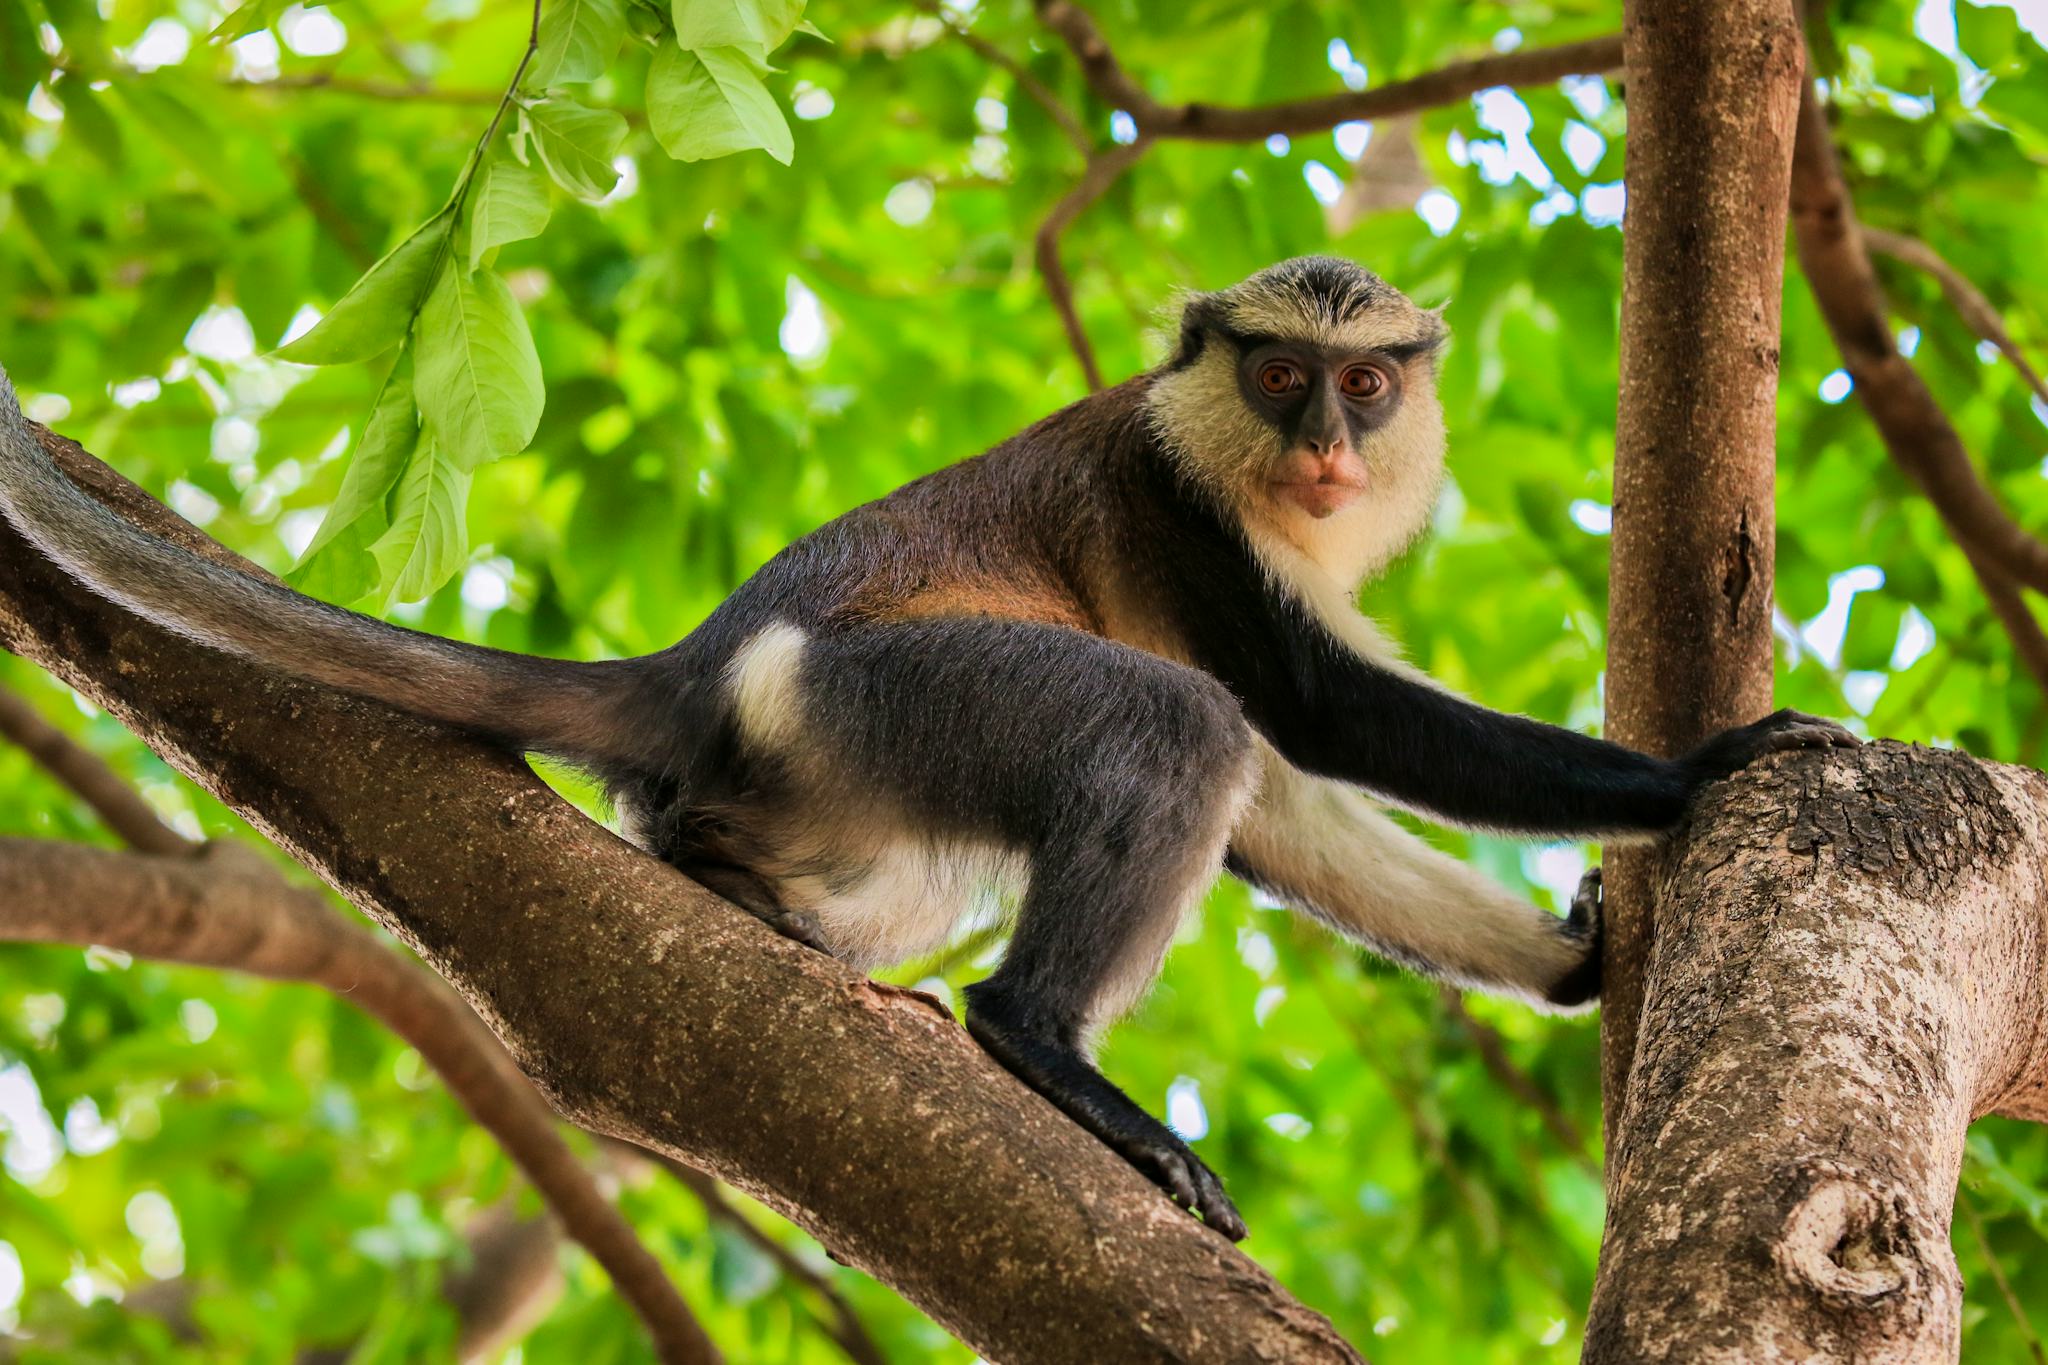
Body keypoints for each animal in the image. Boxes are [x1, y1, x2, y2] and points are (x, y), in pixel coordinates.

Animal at [0, 253, 1859, 1236]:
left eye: (1366, 385)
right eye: (1278, 378)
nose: (1330, 445)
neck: (1248, 480)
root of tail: (700, 664)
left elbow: (1281, 804)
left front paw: (1570, 959)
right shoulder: (1175, 505)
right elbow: (1308, 719)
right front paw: (1701, 774)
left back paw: (734, 882)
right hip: (875, 694)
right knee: (1166, 726)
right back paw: (1037, 1044)